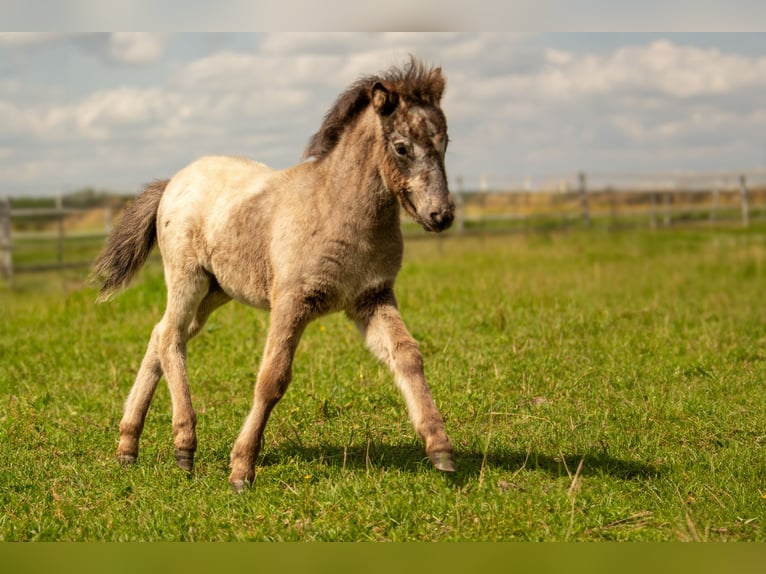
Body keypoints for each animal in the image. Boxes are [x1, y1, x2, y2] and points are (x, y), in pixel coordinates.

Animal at [94, 58, 460, 492]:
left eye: (446, 141)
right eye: (402, 146)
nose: (441, 215)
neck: (336, 209)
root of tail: (173, 181)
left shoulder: (371, 297)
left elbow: (407, 355)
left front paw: (440, 448)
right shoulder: (292, 301)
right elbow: (272, 379)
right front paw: (241, 470)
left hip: (216, 291)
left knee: (162, 334)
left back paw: (128, 445)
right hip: (187, 277)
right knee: (169, 338)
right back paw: (184, 445)